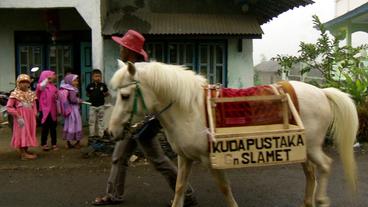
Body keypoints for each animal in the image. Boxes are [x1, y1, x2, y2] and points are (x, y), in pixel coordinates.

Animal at [108, 60, 358, 207]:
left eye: (125, 96)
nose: (111, 131)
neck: (189, 109)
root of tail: (322, 92)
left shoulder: (211, 159)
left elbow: (225, 189)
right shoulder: (184, 157)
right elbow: (179, 189)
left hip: (312, 146)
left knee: (325, 165)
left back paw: (321, 199)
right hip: (303, 148)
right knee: (310, 173)